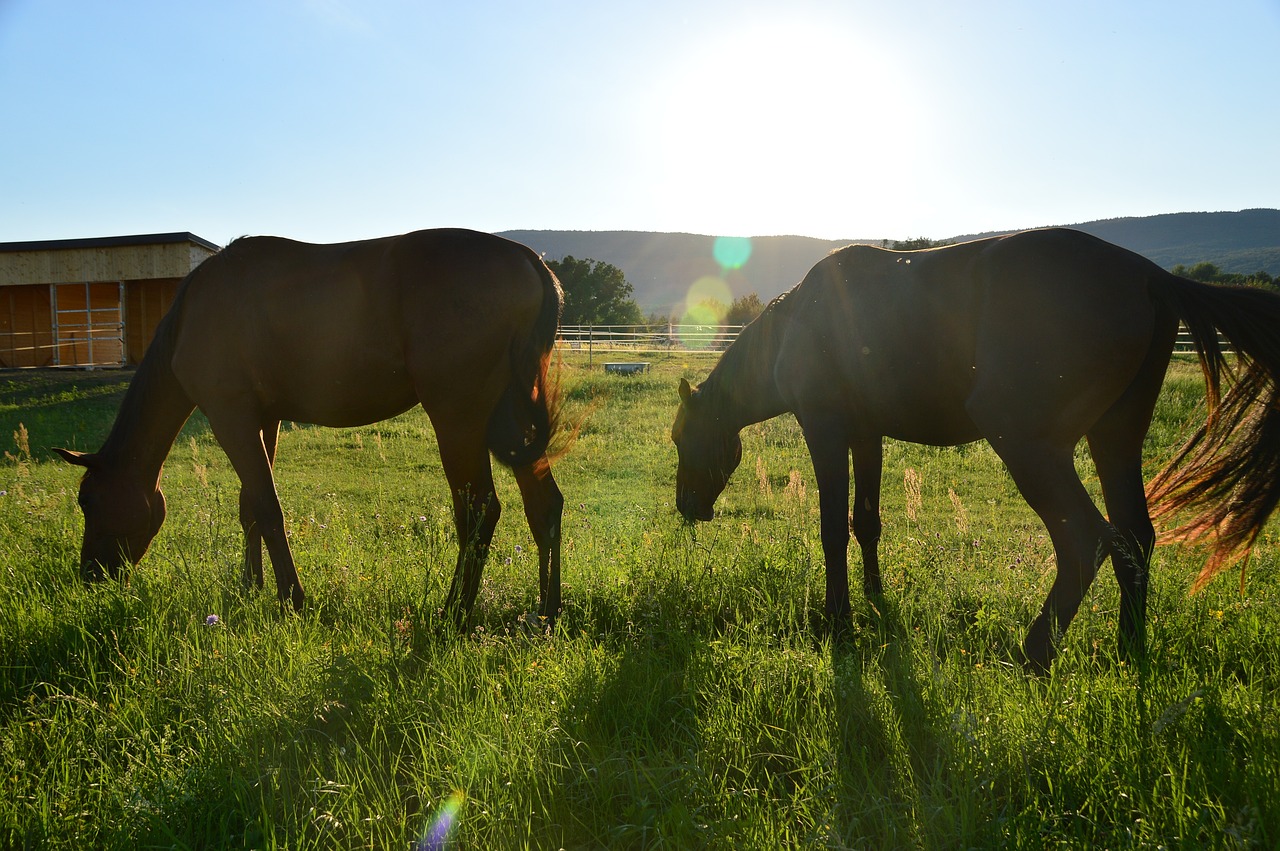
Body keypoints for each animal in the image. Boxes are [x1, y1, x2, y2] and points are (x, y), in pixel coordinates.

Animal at [55, 225, 565, 624]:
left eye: (88, 501)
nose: (90, 576)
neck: (191, 316)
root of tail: (530, 261)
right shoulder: (264, 419)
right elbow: (250, 507)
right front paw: (252, 586)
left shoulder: (230, 417)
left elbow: (267, 506)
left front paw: (291, 599)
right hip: (511, 421)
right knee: (544, 504)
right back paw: (547, 611)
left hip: (458, 418)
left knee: (479, 511)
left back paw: (453, 613)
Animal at [670, 227, 1280, 670]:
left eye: (679, 437)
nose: (687, 507)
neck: (801, 318)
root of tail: (1150, 277)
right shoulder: (867, 434)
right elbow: (866, 522)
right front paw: (875, 600)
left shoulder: (826, 430)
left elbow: (832, 528)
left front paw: (839, 620)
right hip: (1115, 439)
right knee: (1134, 536)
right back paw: (1129, 651)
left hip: (1028, 445)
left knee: (1086, 539)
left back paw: (1034, 655)